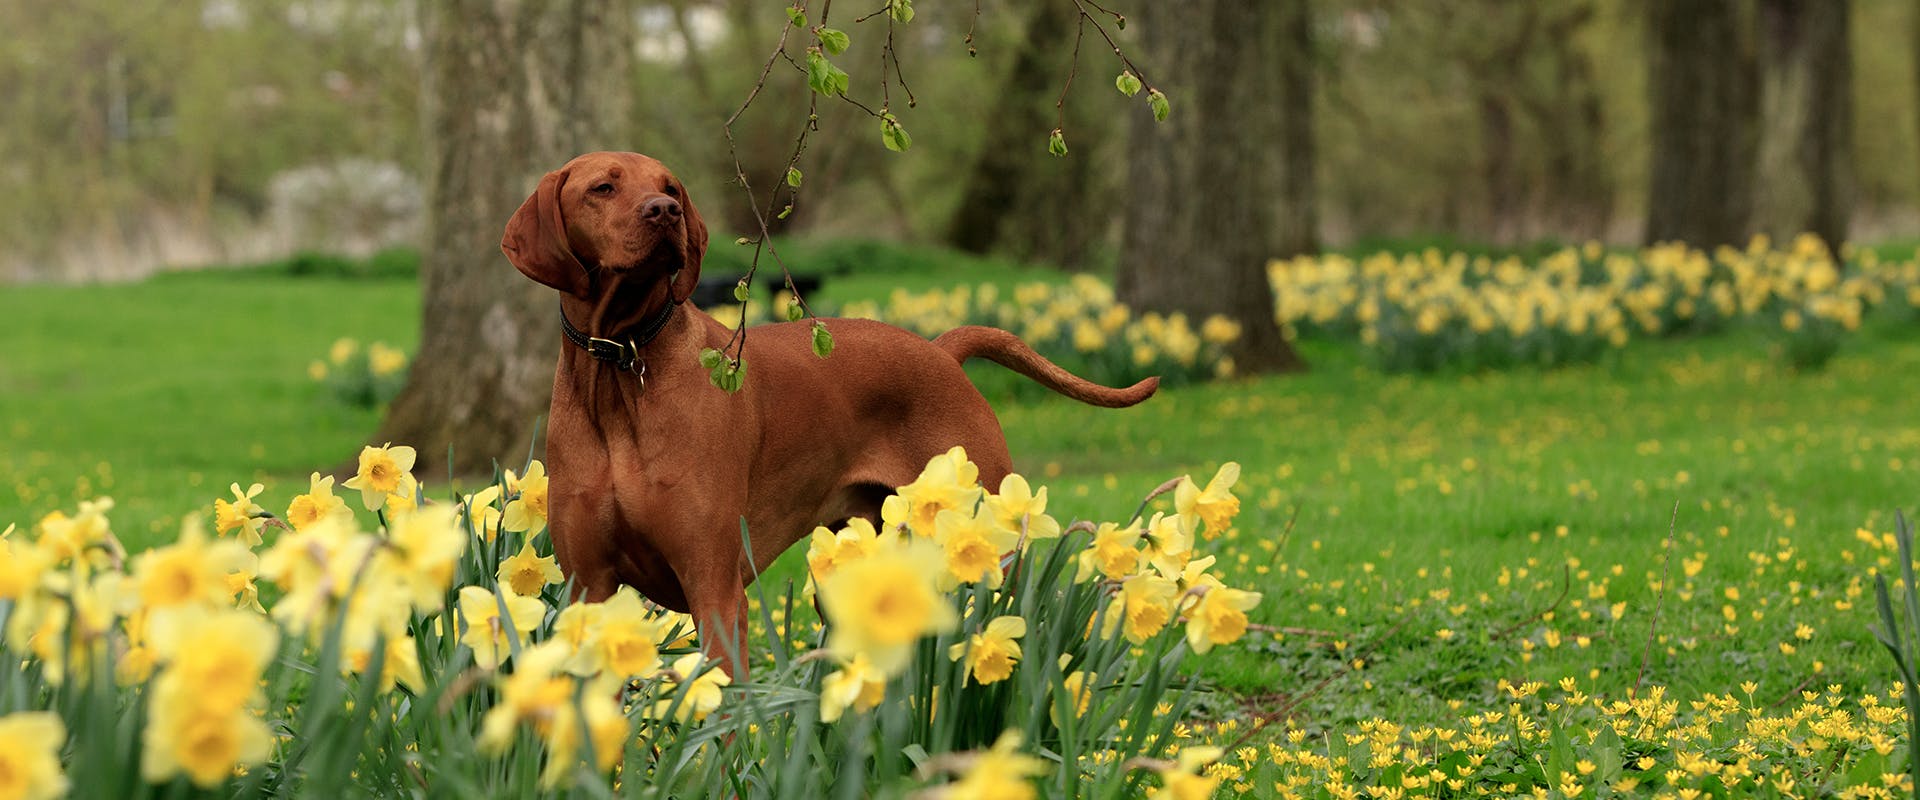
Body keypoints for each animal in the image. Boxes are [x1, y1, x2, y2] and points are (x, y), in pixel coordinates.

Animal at [499, 149, 1152, 675]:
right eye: (603, 187)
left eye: (672, 187)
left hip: (991, 552)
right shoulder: (588, 588)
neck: (623, 364)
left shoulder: (714, 588)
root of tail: (941, 351)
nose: (665, 211)